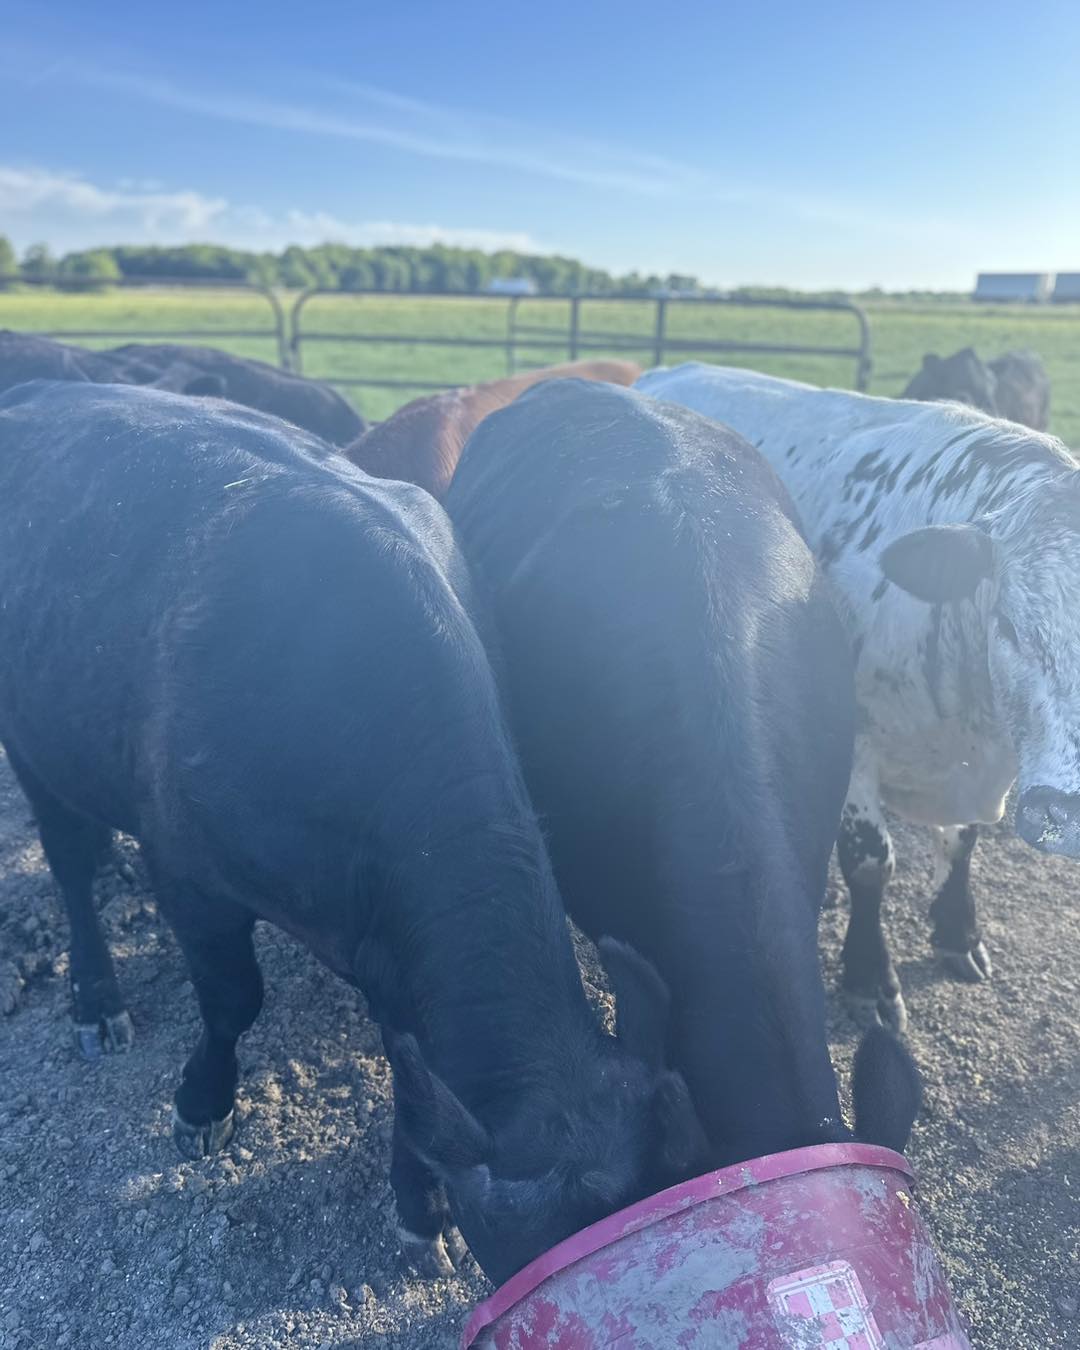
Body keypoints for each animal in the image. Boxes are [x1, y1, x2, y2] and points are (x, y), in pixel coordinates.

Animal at [0, 380, 704, 1285]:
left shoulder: (393, 943)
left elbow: (412, 1068)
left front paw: (419, 1204)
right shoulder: (188, 869)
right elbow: (233, 997)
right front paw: (202, 1103)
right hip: (34, 738)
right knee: (68, 862)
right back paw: (96, 997)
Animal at [637, 361, 1080, 1030]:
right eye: (1007, 624)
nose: (1063, 812)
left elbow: (962, 843)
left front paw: (959, 931)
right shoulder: (855, 745)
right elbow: (871, 863)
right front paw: (870, 977)